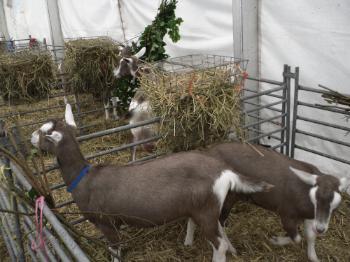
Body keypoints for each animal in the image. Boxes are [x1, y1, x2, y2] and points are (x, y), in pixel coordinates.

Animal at [30, 103, 274, 260]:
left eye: (44, 132)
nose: (31, 137)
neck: (83, 177)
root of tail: (224, 171)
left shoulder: (106, 223)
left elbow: (115, 250)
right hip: (205, 208)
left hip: (205, 209)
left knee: (219, 243)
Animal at [187, 142, 350, 260]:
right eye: (316, 199)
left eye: (336, 206)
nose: (321, 229)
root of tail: (207, 153)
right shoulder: (286, 213)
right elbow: (296, 238)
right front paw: (276, 241)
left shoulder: (311, 217)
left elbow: (310, 236)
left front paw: (313, 257)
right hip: (226, 197)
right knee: (219, 221)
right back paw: (230, 248)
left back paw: (188, 242)